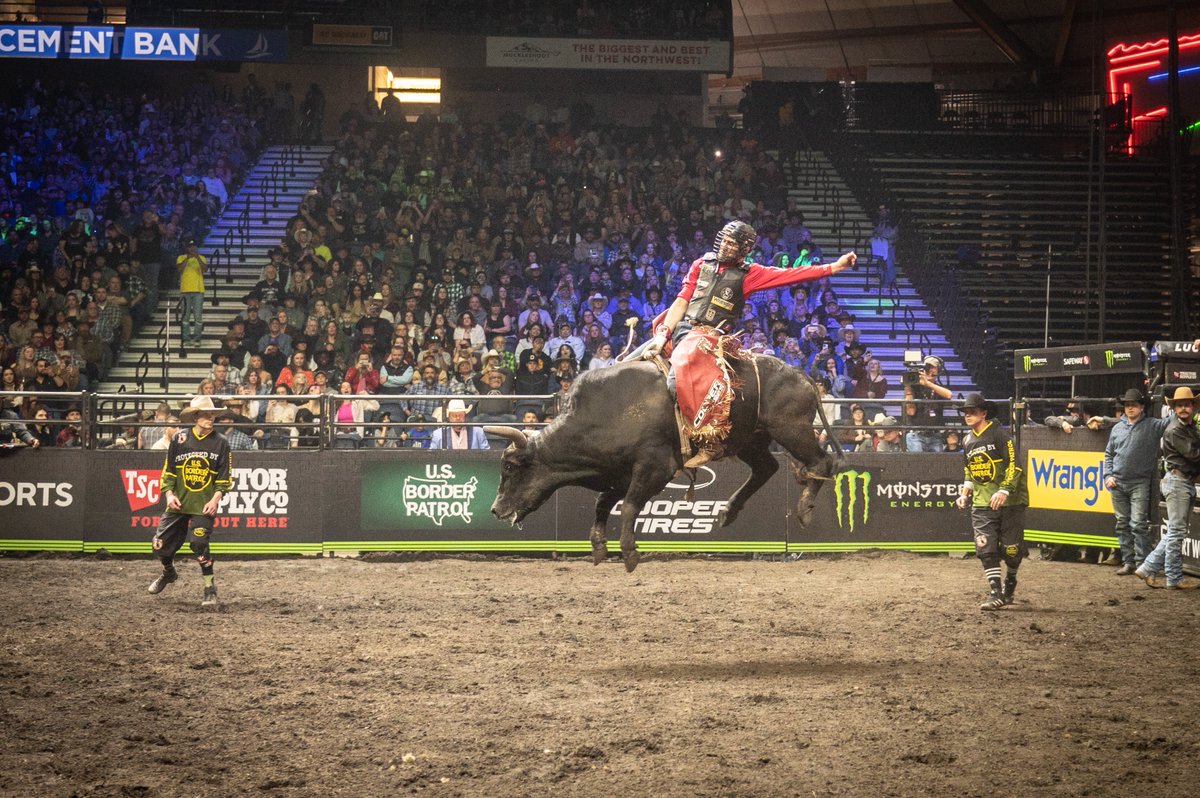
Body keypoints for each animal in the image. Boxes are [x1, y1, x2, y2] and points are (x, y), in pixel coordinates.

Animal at [482, 355, 840, 573]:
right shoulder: (618, 473)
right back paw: (728, 511)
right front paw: (598, 546)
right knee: (767, 468)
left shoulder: (655, 467)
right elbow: (603, 503)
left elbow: (628, 505)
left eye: (510, 468)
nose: (495, 509)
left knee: (822, 461)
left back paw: (805, 508)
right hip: (750, 440)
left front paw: (629, 551)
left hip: (791, 430)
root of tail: (803, 377)